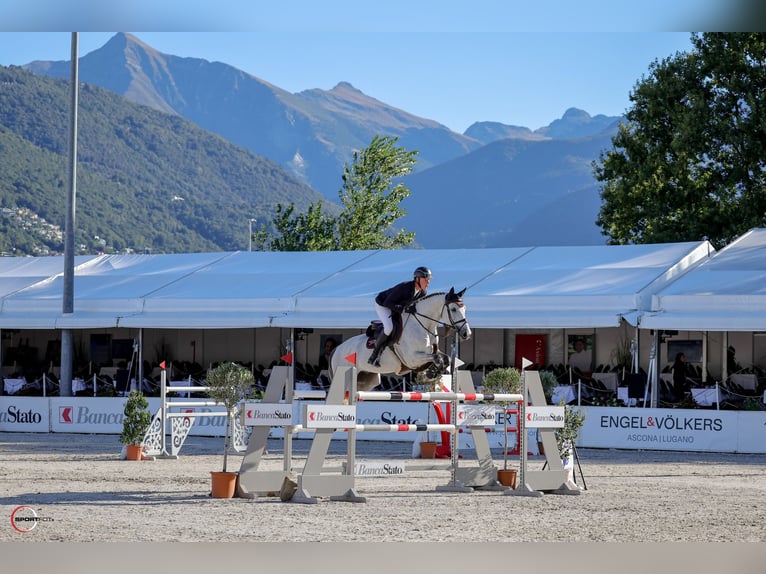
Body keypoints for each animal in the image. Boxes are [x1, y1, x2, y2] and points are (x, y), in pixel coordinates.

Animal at [329, 287, 472, 392]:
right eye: (453, 309)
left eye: (465, 308)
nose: (467, 333)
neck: (423, 326)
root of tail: (337, 349)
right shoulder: (412, 359)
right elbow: (436, 358)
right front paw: (432, 373)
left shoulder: (431, 352)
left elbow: (445, 358)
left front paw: (434, 372)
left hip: (367, 380)